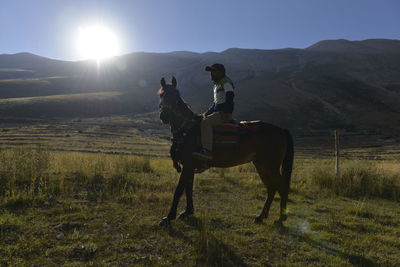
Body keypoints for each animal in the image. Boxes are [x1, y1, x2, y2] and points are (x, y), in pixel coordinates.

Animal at [159, 77, 294, 226]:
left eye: (176, 96)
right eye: (161, 95)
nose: (164, 116)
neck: (188, 129)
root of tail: (281, 130)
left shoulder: (188, 165)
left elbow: (179, 190)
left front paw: (169, 217)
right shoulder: (189, 166)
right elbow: (189, 188)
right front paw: (188, 212)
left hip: (271, 166)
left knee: (281, 187)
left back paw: (281, 218)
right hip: (262, 165)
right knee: (271, 188)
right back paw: (261, 216)